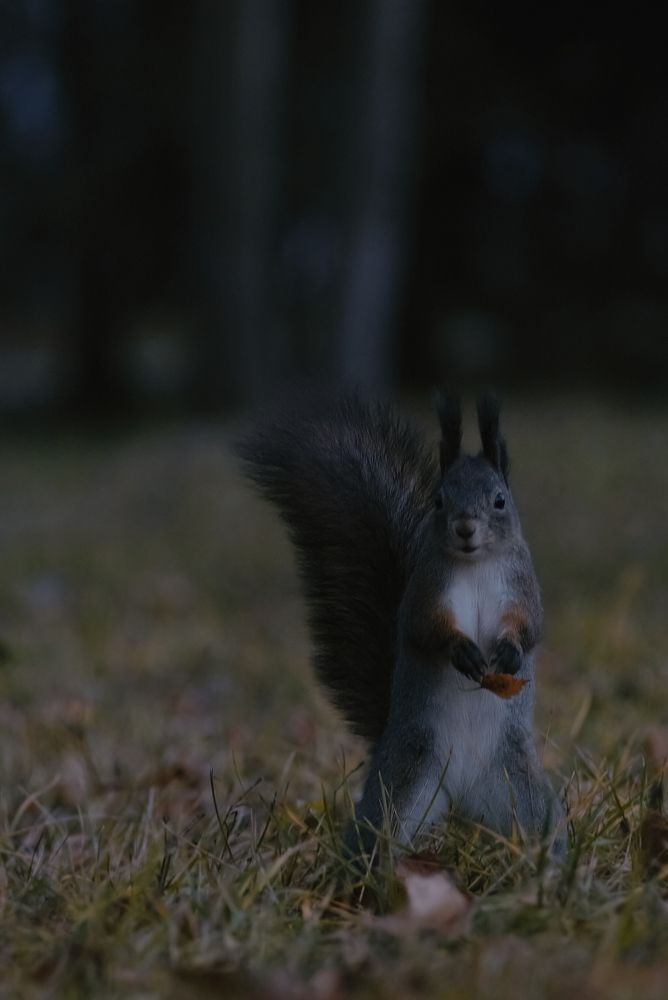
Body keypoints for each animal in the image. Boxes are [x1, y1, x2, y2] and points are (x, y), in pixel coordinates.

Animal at [237, 392, 564, 857]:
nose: (465, 528)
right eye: (439, 501)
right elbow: (425, 629)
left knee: (542, 829)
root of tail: (462, 799)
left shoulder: (522, 584)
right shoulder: (425, 592)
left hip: (519, 790)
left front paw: (508, 651)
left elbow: (529, 626)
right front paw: (462, 651)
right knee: (377, 833)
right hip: (404, 782)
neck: (476, 563)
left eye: (500, 499)